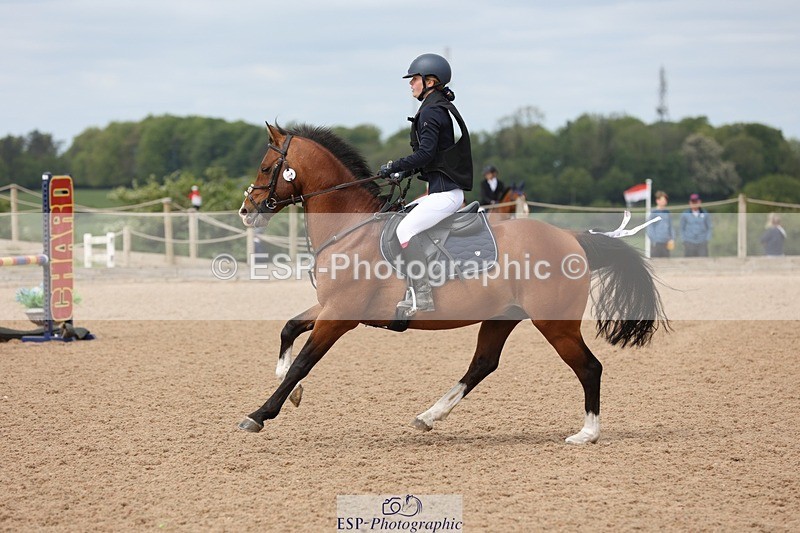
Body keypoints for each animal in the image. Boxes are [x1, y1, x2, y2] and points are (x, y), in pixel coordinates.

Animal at [237, 123, 668, 444]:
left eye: (266, 167)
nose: (246, 210)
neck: (350, 228)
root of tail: (572, 238)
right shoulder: (331, 308)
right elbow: (288, 329)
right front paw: (290, 392)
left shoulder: (339, 314)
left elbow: (304, 362)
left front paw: (259, 413)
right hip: (502, 317)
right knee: (483, 364)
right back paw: (429, 415)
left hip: (555, 324)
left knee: (589, 367)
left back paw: (587, 433)